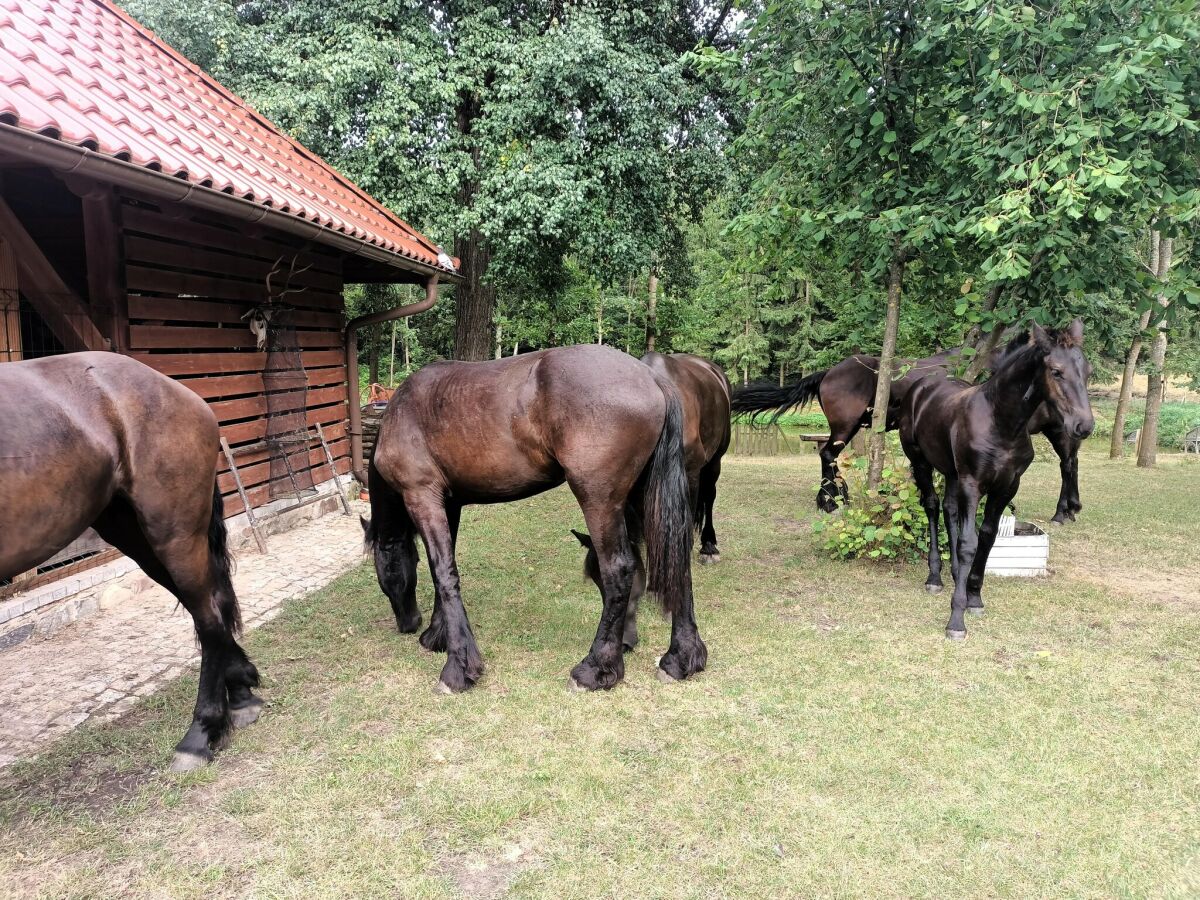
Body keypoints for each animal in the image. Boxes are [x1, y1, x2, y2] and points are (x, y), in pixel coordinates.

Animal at [0, 350, 261, 768]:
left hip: (173, 535)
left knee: (207, 617)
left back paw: (199, 735)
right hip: (136, 536)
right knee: (214, 604)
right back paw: (240, 696)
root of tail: (186, 395)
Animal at [360, 343, 705, 691]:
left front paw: (457, 667)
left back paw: (594, 669)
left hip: (600, 501)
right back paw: (681, 659)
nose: (408, 622)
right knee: (678, 562)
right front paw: (437, 636)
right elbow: (444, 568)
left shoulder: (423, 497)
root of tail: (650, 377)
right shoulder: (450, 504)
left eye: (384, 571)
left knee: (619, 569)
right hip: (645, 495)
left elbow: (443, 574)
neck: (403, 413)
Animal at [571, 352, 729, 657]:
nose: (622, 643)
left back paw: (709, 546)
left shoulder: (688, 476)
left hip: (715, 460)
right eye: (595, 580)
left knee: (710, 495)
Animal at [729, 340, 1089, 525]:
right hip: (845, 427)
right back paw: (831, 501)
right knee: (828, 453)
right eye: (1057, 373)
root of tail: (830, 372)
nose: (1082, 421)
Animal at [897, 321, 1094, 643]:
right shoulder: (973, 483)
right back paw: (935, 577)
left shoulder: (1007, 486)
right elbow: (968, 543)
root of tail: (921, 386)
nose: (1084, 425)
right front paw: (956, 620)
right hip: (921, 462)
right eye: (1056, 371)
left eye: (1087, 371)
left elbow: (987, 538)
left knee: (950, 510)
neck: (1001, 422)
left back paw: (956, 574)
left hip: (952, 473)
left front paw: (974, 597)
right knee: (932, 506)